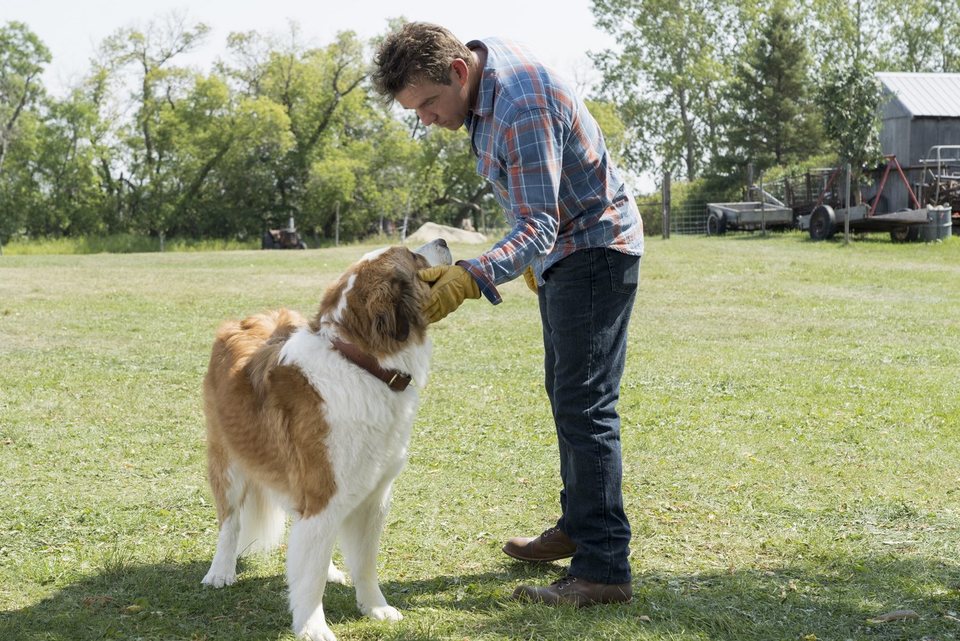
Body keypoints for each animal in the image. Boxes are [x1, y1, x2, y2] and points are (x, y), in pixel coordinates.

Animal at [200, 239, 454, 640]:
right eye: (414, 256)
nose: (443, 241)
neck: (362, 363)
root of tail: (255, 318)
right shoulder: (323, 493)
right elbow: (310, 576)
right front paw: (311, 626)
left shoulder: (372, 498)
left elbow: (364, 562)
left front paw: (375, 607)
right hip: (228, 461)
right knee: (230, 520)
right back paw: (221, 570)